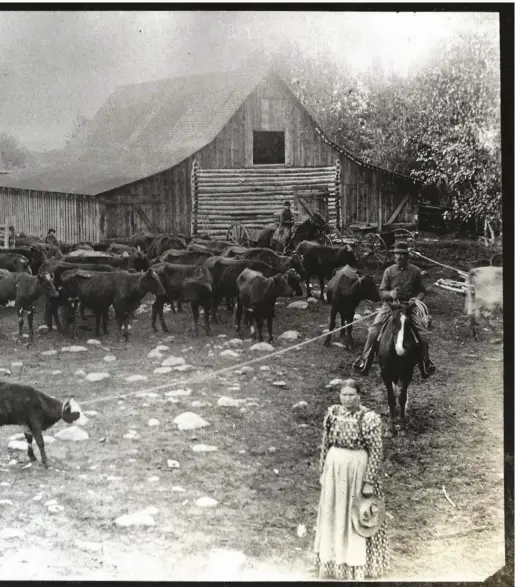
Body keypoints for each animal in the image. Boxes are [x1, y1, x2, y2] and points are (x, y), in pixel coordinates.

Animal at [376, 304, 422, 436]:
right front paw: (391, 427)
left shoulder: (407, 373)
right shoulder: (385, 373)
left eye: (409, 324)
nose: (400, 349)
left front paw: (401, 425)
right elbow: (391, 398)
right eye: (392, 322)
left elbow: (402, 398)